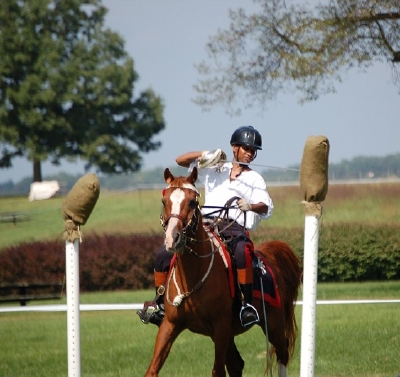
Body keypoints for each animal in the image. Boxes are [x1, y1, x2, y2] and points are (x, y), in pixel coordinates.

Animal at [144, 168, 300, 376]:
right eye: (164, 201)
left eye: (191, 201)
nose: (172, 239)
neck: (192, 278)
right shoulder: (170, 324)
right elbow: (152, 369)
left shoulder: (220, 327)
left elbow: (217, 370)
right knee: (236, 364)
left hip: (273, 325)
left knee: (283, 351)